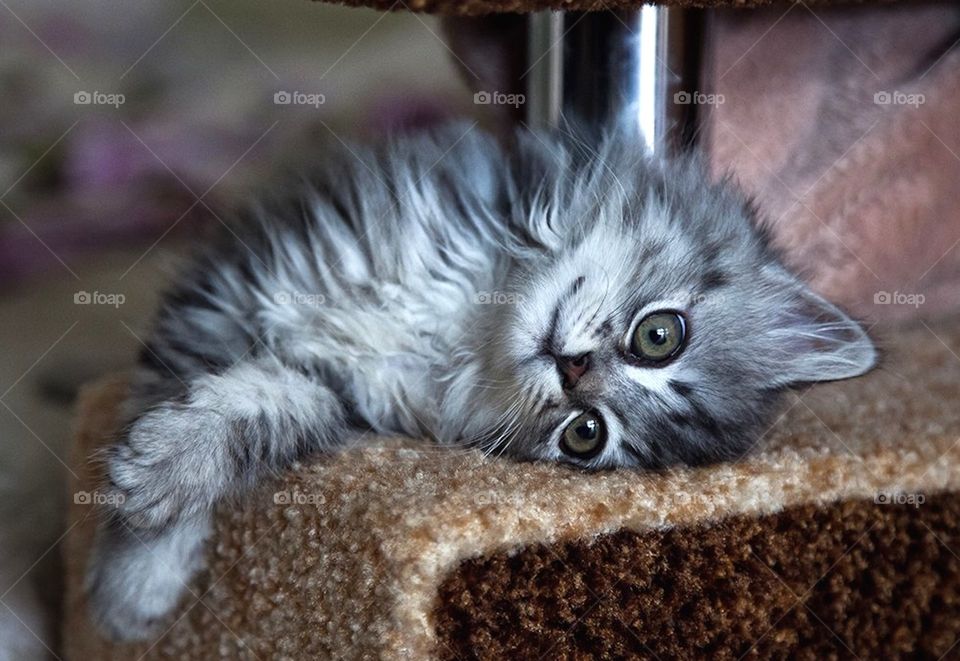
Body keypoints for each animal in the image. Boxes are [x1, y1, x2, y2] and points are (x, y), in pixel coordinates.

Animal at [88, 122, 876, 636]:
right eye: (660, 335)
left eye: (584, 435)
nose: (573, 371)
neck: (465, 318)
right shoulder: (240, 287)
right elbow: (175, 391)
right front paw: (137, 573)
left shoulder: (333, 391)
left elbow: (261, 410)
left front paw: (144, 557)